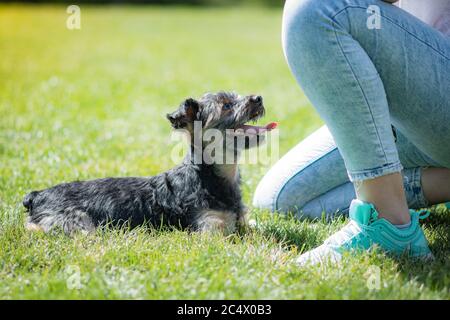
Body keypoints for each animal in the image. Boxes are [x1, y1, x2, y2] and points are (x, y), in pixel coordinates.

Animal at [24, 92, 280, 235]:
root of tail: (37, 195)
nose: (258, 98)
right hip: (77, 224)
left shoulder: (240, 223)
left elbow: (254, 229)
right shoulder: (212, 230)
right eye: (226, 105)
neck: (211, 176)